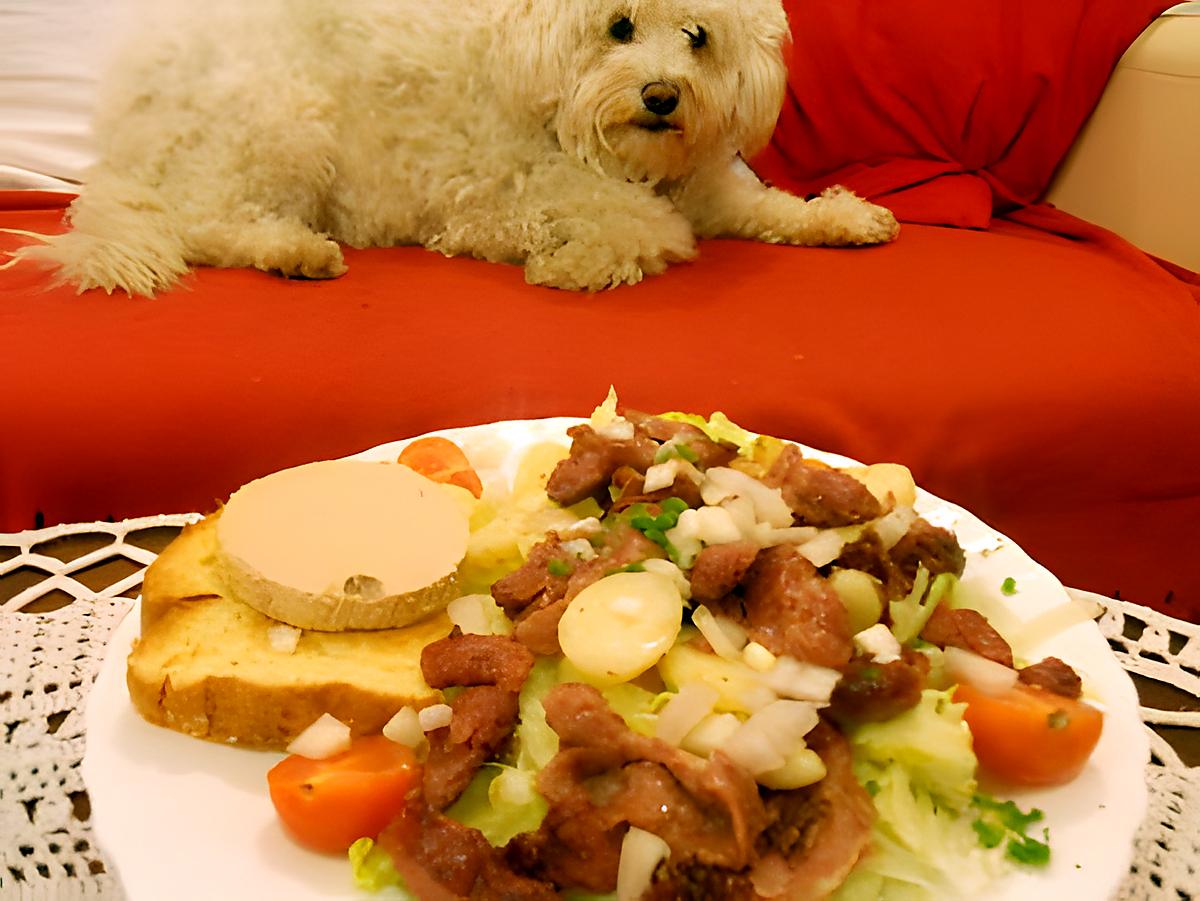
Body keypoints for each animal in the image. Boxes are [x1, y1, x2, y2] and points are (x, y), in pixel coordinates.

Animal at [7, 0, 892, 293]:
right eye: (619, 27)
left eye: (698, 37)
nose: (662, 95)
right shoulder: (503, 189)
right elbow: (647, 227)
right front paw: (575, 264)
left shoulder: (714, 190)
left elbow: (776, 207)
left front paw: (847, 219)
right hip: (286, 119)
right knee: (205, 223)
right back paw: (295, 250)